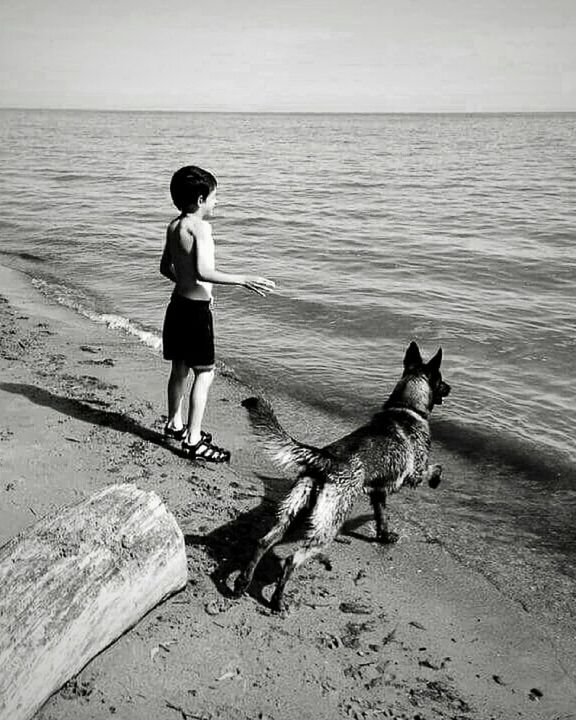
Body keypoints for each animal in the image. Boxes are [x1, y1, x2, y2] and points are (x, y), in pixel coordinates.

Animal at [233, 340, 450, 612]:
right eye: (440, 379)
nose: (450, 388)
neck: (407, 407)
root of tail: (325, 458)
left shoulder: (379, 492)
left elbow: (382, 516)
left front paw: (384, 536)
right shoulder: (414, 474)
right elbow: (435, 468)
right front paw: (436, 479)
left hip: (292, 512)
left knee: (264, 541)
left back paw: (242, 582)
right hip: (329, 524)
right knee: (292, 560)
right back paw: (277, 600)